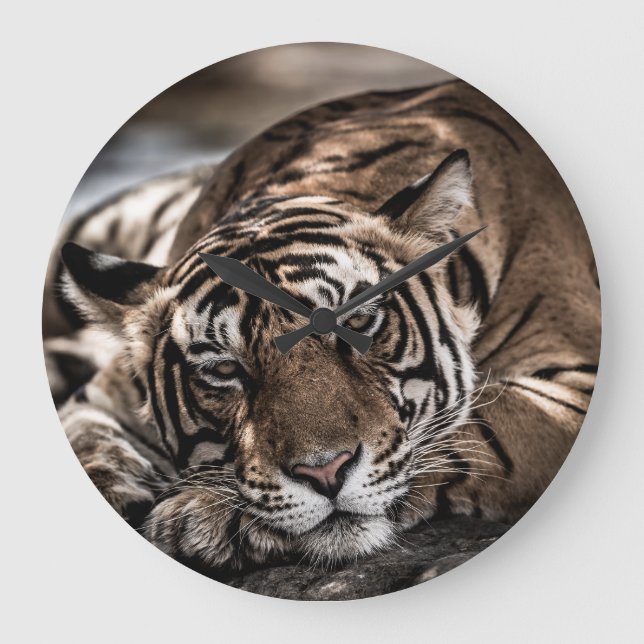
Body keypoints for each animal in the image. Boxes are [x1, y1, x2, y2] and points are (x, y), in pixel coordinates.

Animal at [43, 79, 600, 578]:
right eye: (224, 369)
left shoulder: (575, 381)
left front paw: (203, 514)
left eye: (358, 322)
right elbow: (88, 441)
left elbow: (475, 430)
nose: (325, 472)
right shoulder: (102, 396)